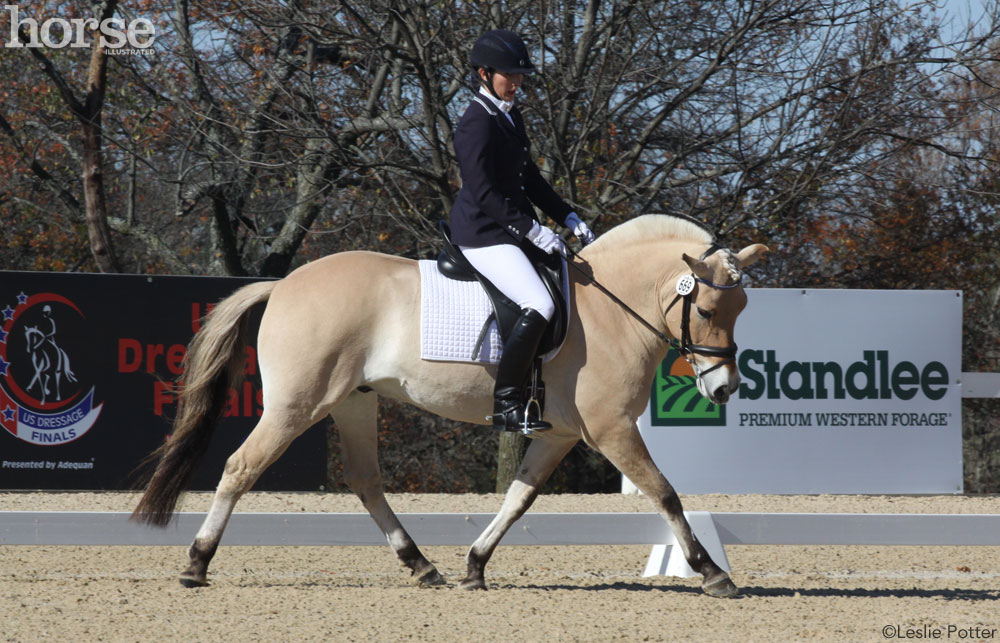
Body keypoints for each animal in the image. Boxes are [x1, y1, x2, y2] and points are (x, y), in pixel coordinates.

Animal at [133, 216, 768, 600]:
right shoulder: (611, 430)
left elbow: (518, 499)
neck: (612, 309)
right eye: (706, 310)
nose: (724, 389)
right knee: (241, 467)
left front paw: (475, 564)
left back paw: (422, 565)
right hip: (296, 403)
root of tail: (284, 284)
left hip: (353, 403)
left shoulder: (558, 434)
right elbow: (665, 493)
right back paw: (196, 564)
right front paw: (713, 573)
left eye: (741, 310)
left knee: (365, 481)